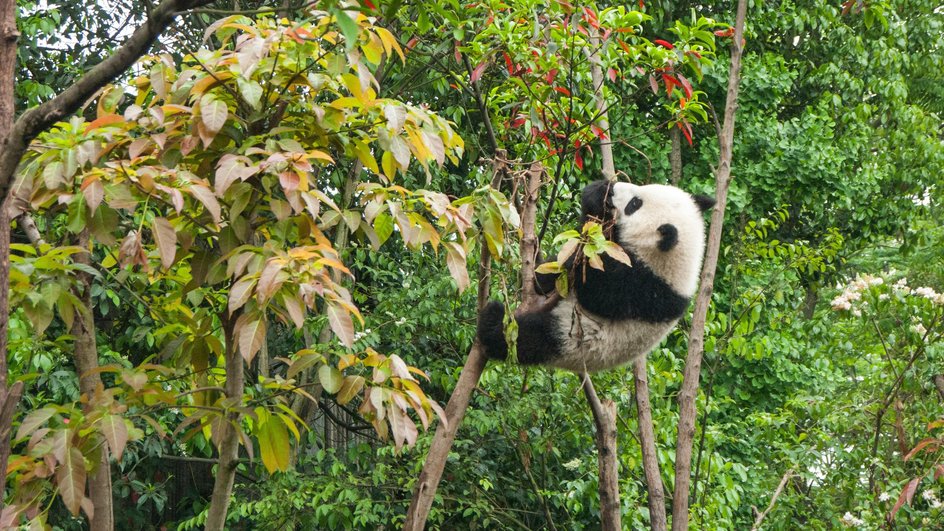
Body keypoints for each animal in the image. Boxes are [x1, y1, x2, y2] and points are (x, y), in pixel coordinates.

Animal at [480, 181, 716, 372]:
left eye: (635, 204)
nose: (614, 188)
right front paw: (597, 193)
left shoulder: (644, 288)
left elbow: (596, 291)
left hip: (571, 339)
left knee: (527, 338)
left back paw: (493, 319)